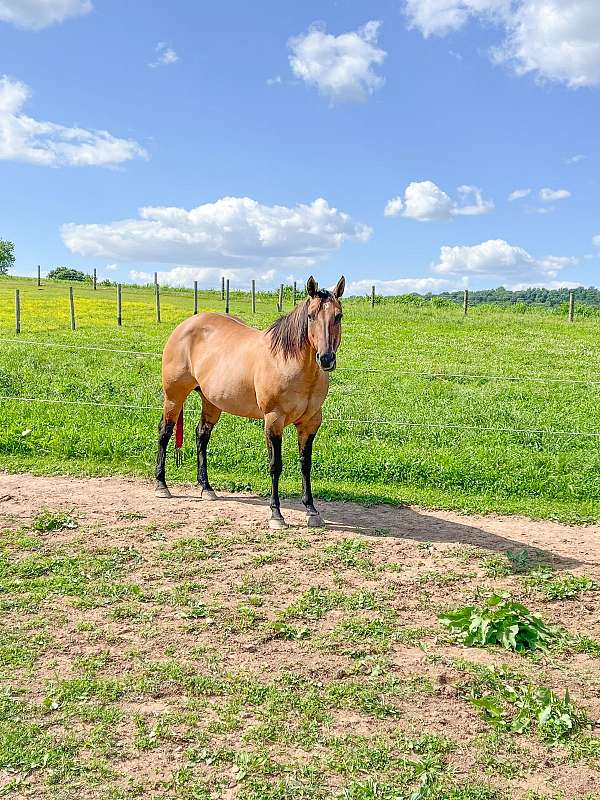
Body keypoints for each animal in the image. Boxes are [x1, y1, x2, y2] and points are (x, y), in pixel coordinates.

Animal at [155, 276, 346, 532]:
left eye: (338, 315)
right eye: (310, 316)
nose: (325, 359)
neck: (291, 364)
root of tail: (186, 325)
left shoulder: (311, 423)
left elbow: (305, 465)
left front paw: (312, 511)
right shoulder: (273, 420)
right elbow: (275, 465)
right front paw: (276, 514)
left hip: (211, 402)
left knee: (201, 436)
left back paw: (207, 488)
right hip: (174, 397)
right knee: (164, 432)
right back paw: (161, 485)